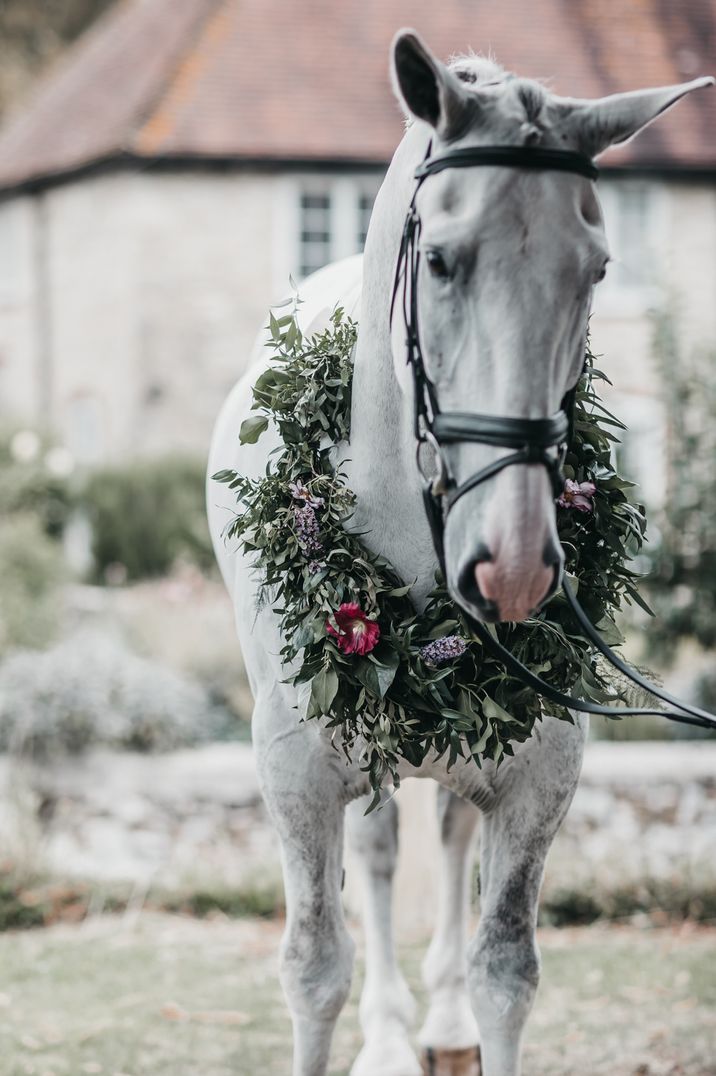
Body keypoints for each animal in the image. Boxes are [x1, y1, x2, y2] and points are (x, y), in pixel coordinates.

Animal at [206, 31, 710, 1076]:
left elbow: (504, 972)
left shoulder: (542, 769)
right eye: (438, 260)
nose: (513, 563)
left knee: (442, 830)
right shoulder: (295, 774)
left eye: (598, 269)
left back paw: (432, 1021)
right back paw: (391, 1035)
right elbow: (315, 969)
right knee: (383, 854)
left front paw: (465, 1006)